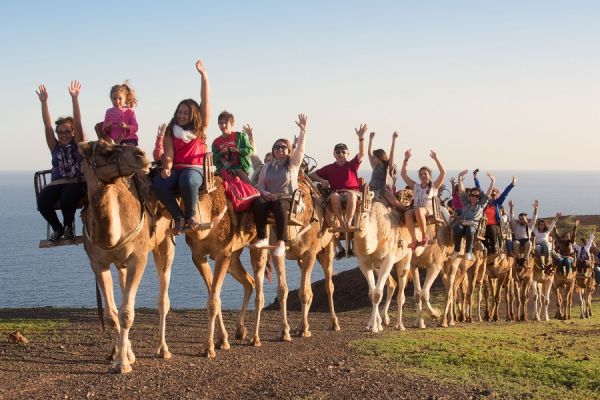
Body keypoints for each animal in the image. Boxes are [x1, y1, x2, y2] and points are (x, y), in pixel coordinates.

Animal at [78, 139, 175, 374]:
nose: (141, 155)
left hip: (165, 242)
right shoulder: (97, 263)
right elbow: (112, 315)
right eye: (105, 151)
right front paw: (122, 356)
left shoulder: (138, 258)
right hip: (120, 263)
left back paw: (163, 349)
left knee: (163, 299)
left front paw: (122, 363)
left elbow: (126, 314)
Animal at [354, 200, 414, 334]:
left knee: (401, 289)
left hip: (406, 256)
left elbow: (377, 294)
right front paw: (373, 324)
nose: (358, 228)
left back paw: (400, 325)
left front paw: (375, 327)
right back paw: (384, 319)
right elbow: (372, 293)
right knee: (392, 284)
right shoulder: (363, 263)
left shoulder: (388, 259)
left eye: (364, 216)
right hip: (377, 267)